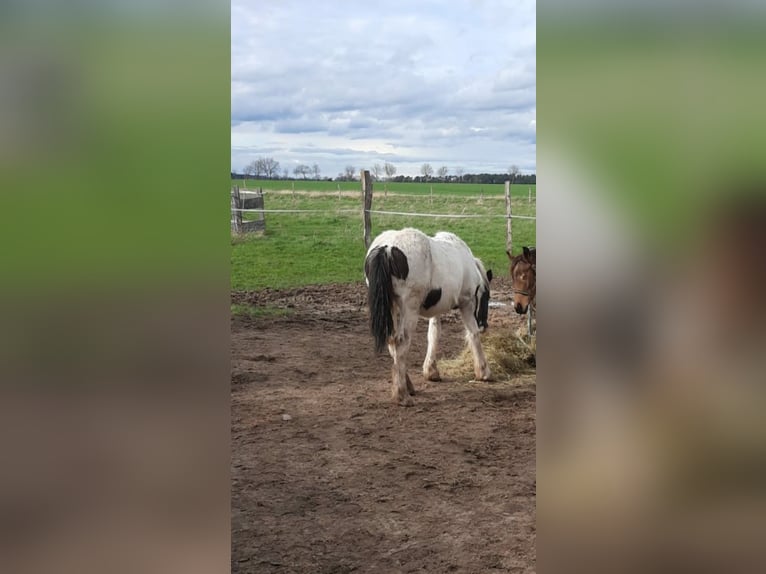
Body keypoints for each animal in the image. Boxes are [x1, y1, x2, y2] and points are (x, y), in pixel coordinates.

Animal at [368, 227, 498, 408]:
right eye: (487, 296)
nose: (484, 325)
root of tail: (387, 248)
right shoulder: (467, 303)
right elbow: (473, 334)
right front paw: (483, 372)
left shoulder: (436, 309)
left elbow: (434, 334)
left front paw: (431, 371)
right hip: (409, 309)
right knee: (400, 342)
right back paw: (402, 395)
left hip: (392, 308)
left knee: (392, 341)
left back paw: (407, 386)